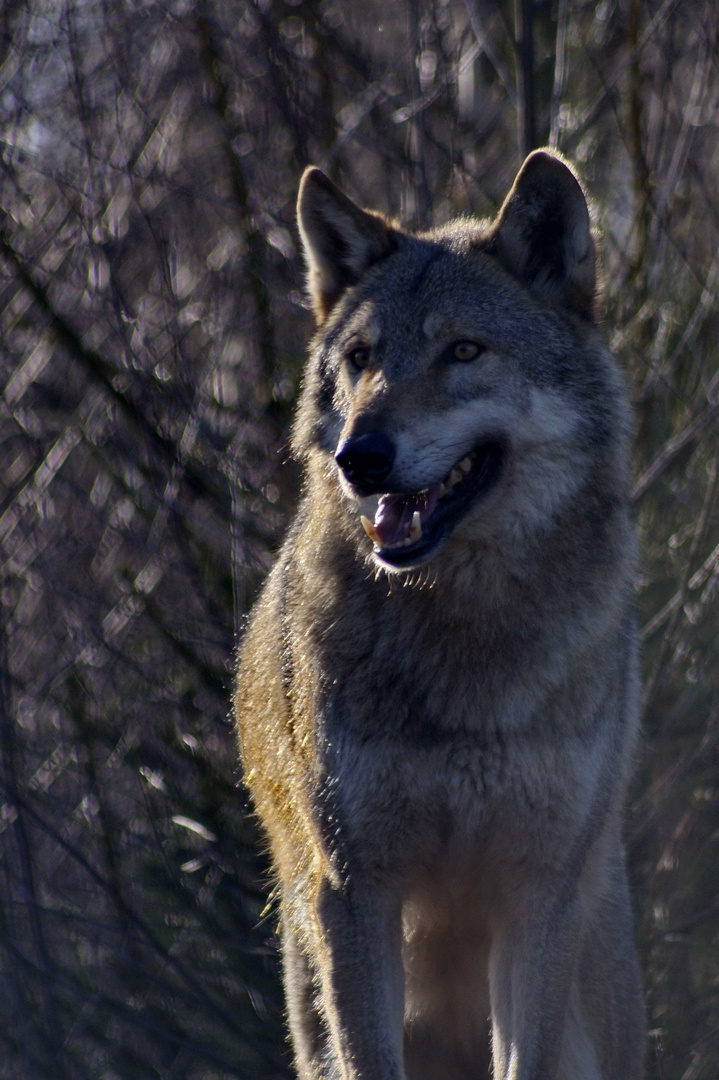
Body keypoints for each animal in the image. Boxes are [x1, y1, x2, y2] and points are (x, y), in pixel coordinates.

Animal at [235, 152, 643, 1080]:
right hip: (309, 987)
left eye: (462, 350)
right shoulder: (354, 891)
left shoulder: (536, 894)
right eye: (360, 358)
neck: (464, 632)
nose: (360, 456)